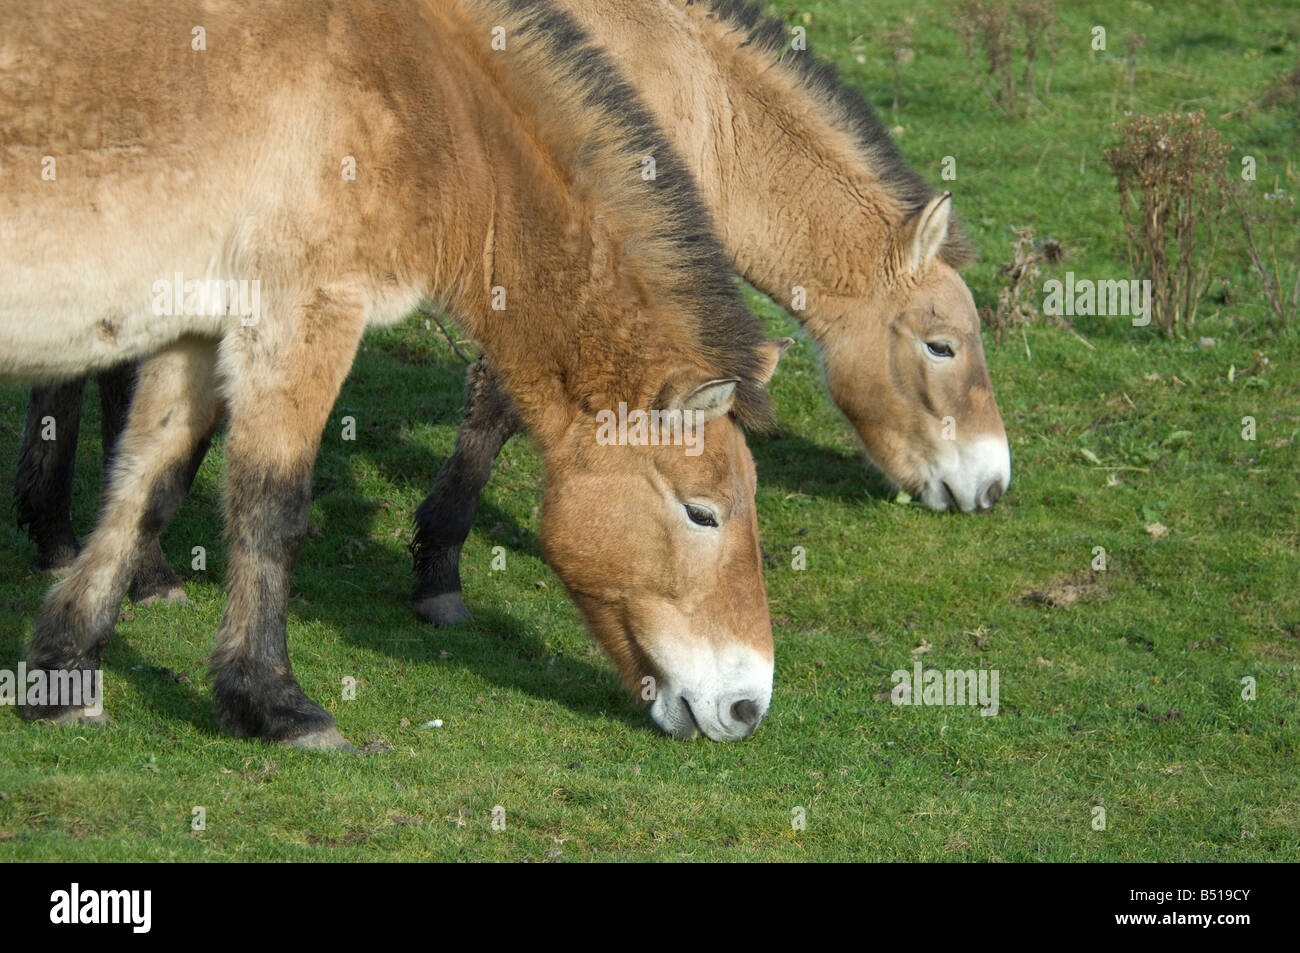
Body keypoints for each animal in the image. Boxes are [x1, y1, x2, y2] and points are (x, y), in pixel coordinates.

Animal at [0, 0, 786, 746]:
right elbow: (271, 504)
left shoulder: (196, 324)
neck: (422, 99)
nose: (747, 706)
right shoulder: (305, 313)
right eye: (702, 512)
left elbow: (148, 482)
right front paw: (276, 704)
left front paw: (66, 674)